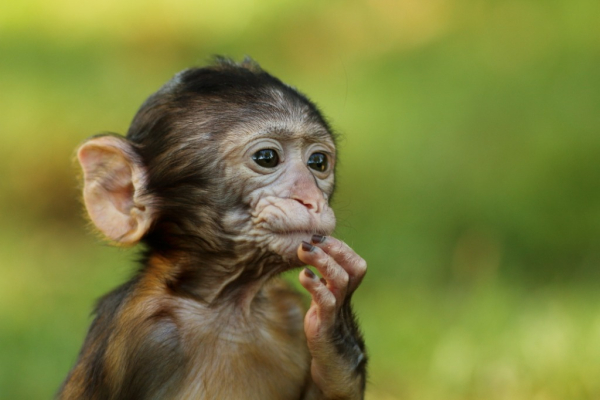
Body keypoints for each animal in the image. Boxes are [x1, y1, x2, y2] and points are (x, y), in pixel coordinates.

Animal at [59, 57, 366, 400]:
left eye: (318, 163)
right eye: (267, 157)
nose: (311, 199)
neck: (225, 306)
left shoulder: (288, 310)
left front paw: (335, 333)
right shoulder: (141, 338)